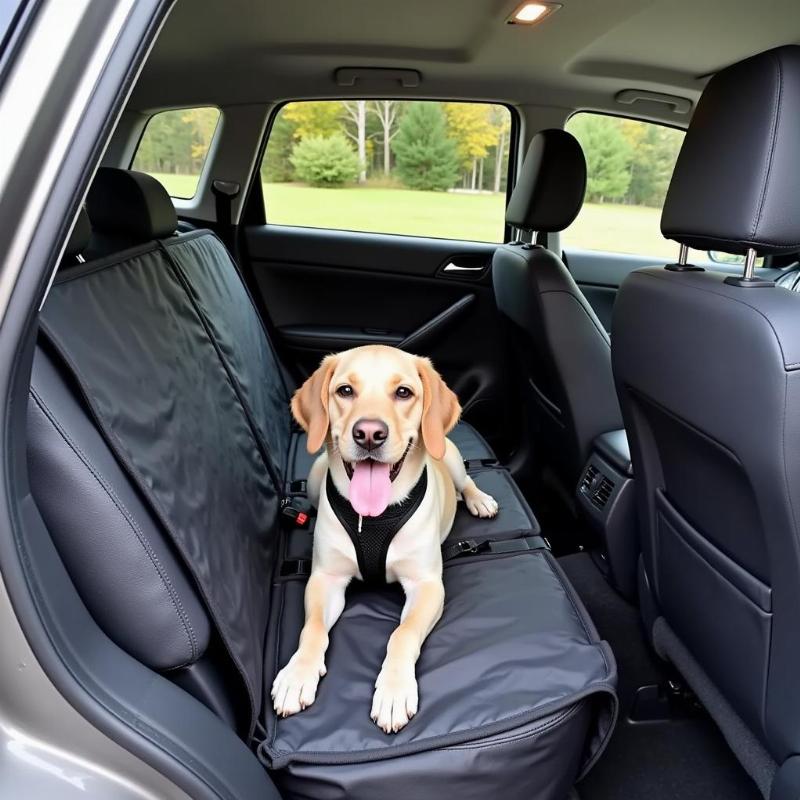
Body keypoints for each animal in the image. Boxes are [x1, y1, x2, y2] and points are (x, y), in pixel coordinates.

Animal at [272, 344, 496, 732]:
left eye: (403, 392)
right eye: (345, 390)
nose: (369, 433)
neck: (374, 518)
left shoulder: (427, 585)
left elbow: (402, 634)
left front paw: (393, 690)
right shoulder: (325, 579)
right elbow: (312, 628)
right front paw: (297, 674)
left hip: (451, 457)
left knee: (466, 480)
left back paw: (479, 499)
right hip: (314, 475)